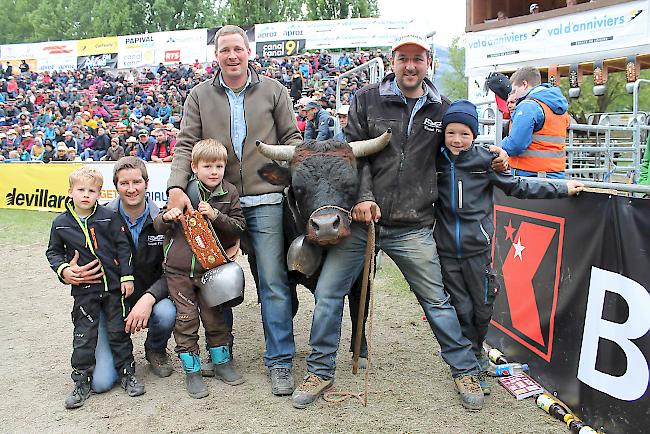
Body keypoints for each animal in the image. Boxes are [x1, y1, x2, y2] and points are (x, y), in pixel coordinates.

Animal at [251, 131, 388, 362]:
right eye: (298, 188)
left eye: (351, 185)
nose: (325, 227)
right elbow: (288, 307)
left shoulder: (366, 270)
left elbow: (358, 305)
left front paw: (361, 350)